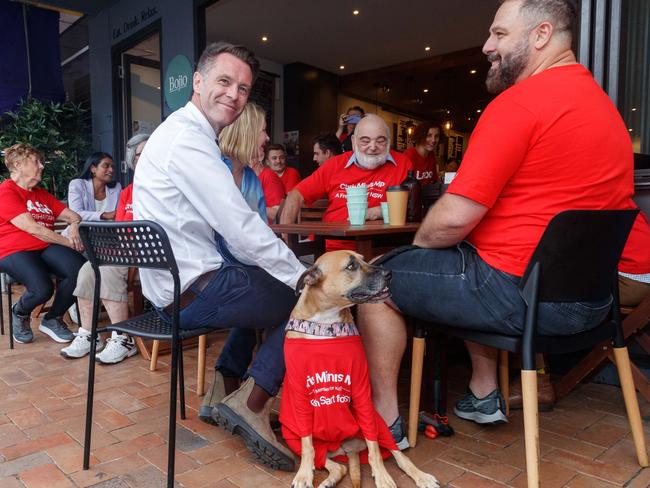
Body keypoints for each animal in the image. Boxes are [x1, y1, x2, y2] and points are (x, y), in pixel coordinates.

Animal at [278, 252, 436, 488]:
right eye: (351, 266)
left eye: (363, 259)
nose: (389, 273)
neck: (325, 324)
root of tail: (346, 447)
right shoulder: (299, 396)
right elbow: (308, 446)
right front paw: (304, 474)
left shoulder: (361, 391)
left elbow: (374, 449)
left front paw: (382, 476)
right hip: (291, 434)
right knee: (335, 465)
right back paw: (327, 480)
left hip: (379, 424)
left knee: (398, 455)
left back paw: (421, 476)